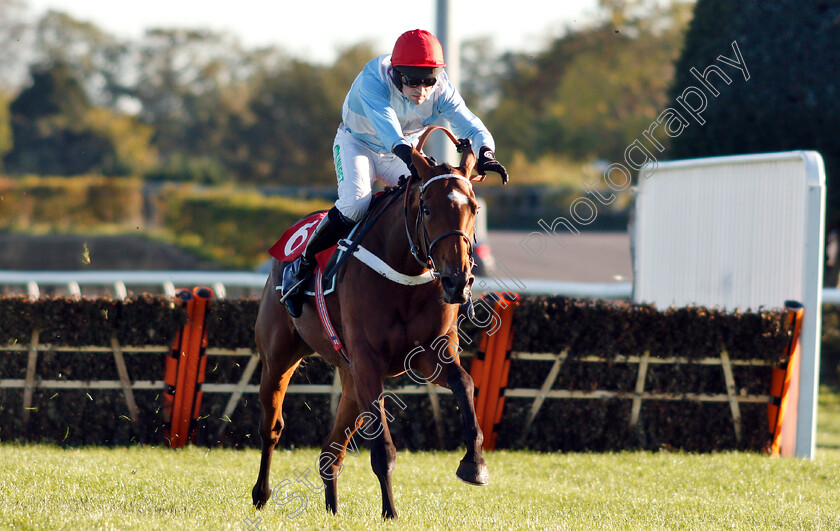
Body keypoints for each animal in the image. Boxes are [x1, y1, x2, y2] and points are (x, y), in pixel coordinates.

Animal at [256, 127, 488, 516]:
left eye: (473, 208)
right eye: (427, 209)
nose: (458, 281)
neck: (404, 269)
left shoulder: (430, 355)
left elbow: (466, 384)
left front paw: (474, 463)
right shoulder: (368, 362)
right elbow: (383, 450)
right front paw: (390, 513)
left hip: (349, 380)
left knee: (329, 453)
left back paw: (333, 511)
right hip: (279, 357)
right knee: (272, 427)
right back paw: (261, 493)